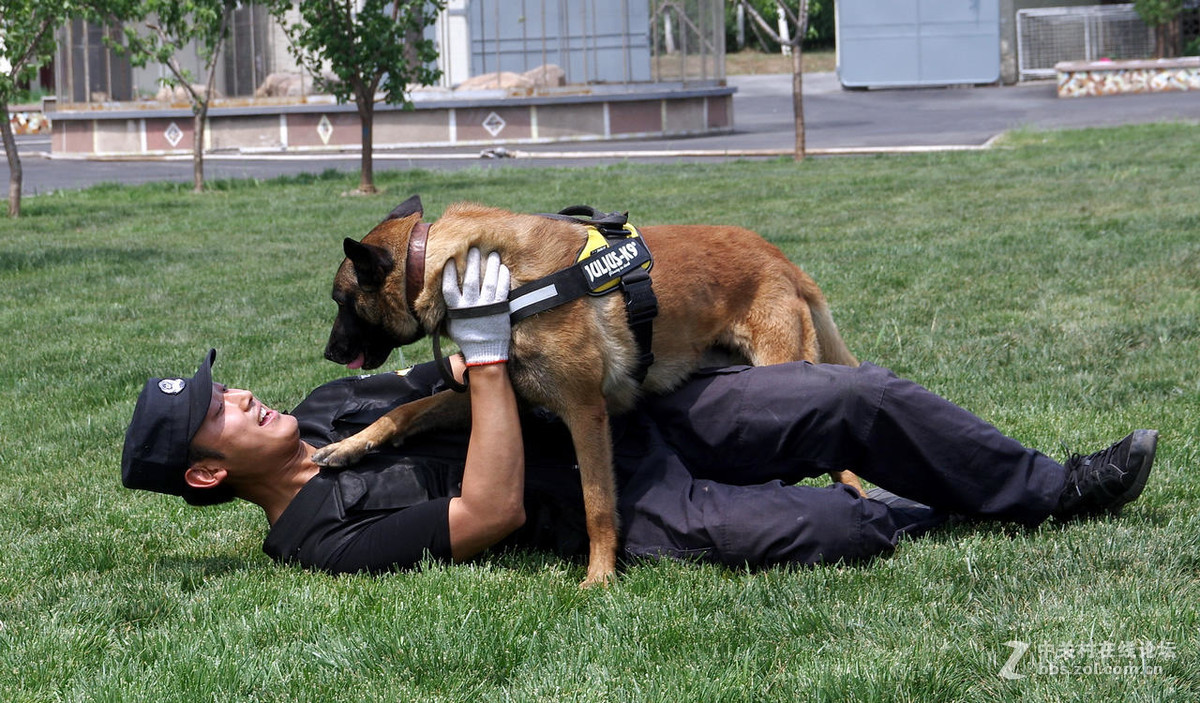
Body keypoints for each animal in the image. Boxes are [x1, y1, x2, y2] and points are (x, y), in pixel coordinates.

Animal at [319, 194, 864, 583]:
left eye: (342, 302)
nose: (327, 352)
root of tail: (781, 258)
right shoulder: (502, 393)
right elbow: (405, 411)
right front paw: (349, 447)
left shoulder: (585, 411)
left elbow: (597, 503)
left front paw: (600, 577)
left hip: (785, 366)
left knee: (842, 456)